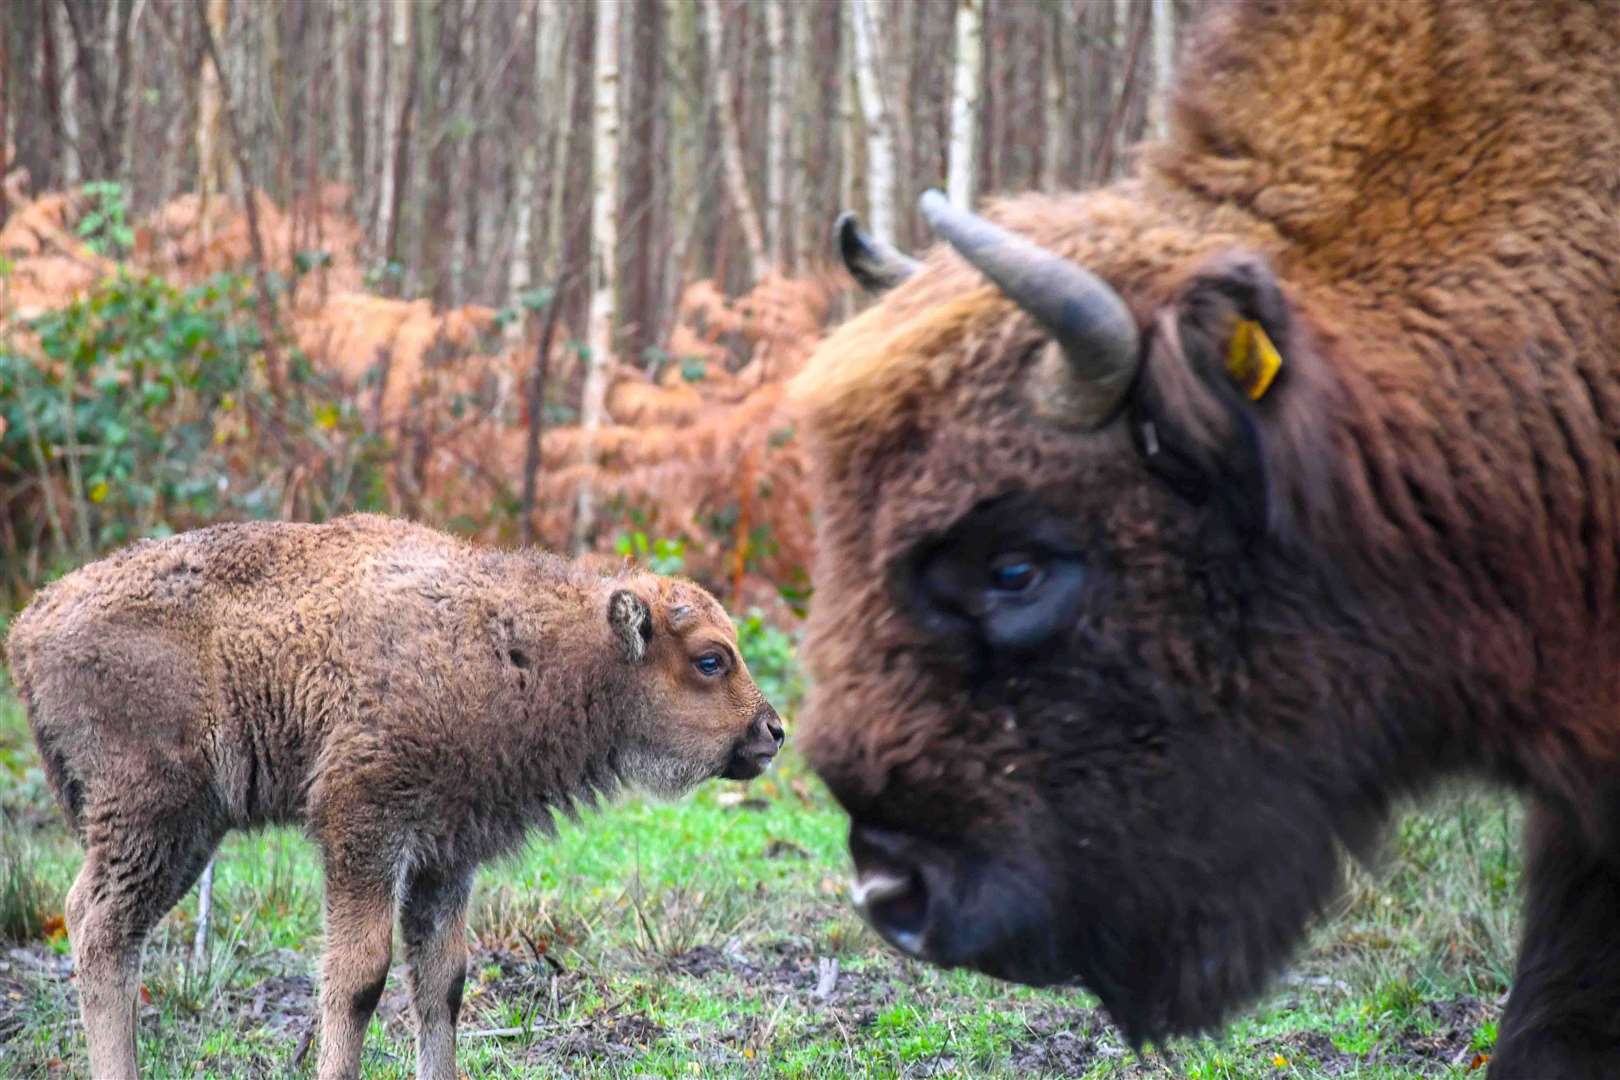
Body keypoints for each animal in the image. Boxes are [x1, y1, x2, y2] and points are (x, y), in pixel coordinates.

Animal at [3, 514, 780, 1080]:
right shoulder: (364, 829)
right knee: (101, 929)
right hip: (155, 817)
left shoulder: (446, 856)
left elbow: (443, 982)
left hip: (182, 831)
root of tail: (31, 623)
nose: (771, 731)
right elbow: (358, 980)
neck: (522, 646)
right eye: (711, 659)